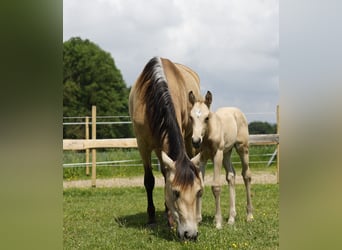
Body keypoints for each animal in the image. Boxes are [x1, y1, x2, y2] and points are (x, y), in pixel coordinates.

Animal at [128, 56, 203, 240]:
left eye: (199, 192)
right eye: (176, 192)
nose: (190, 234)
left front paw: (170, 218)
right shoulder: (143, 144)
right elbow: (149, 180)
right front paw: (152, 218)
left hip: (190, 140)